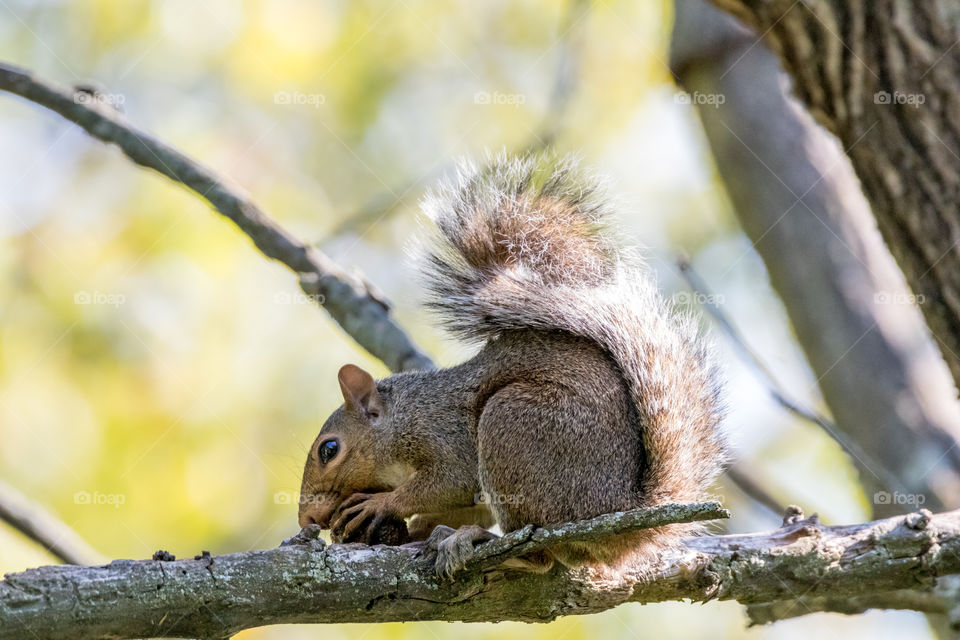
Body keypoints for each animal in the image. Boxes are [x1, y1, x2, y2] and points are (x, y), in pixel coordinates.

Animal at [298, 153, 728, 577]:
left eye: (329, 449)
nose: (307, 520)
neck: (403, 417)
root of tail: (619, 516)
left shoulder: (444, 435)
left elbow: (448, 482)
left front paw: (381, 504)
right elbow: (463, 505)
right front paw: (412, 531)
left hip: (512, 426)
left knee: (539, 553)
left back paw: (481, 544)